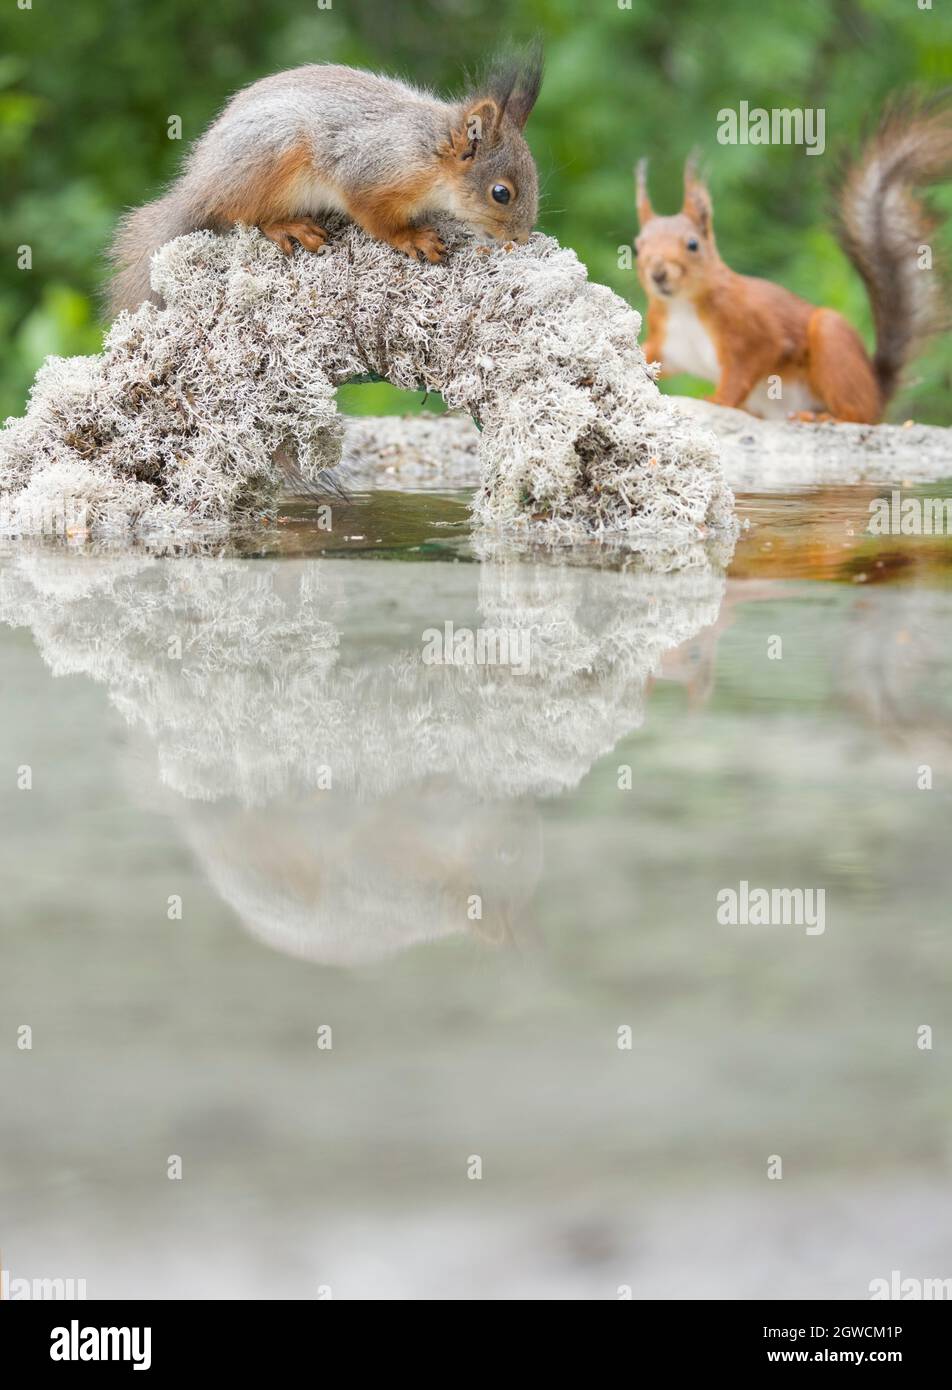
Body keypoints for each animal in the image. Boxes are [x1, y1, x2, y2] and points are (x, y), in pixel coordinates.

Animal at [108, 50, 543, 317]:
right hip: (273, 154)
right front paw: (412, 237)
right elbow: (376, 220)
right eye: (501, 193)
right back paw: (287, 225)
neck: (428, 153)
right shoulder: (369, 174)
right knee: (239, 214)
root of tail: (198, 187)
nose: (521, 238)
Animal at [634, 95, 952, 424]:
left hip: (833, 342)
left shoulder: (752, 327)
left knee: (860, 413)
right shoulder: (668, 344)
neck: (682, 307)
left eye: (693, 244)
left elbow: (746, 368)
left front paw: (718, 400)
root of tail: (877, 390)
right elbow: (646, 354)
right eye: (636, 248)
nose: (658, 273)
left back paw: (828, 417)